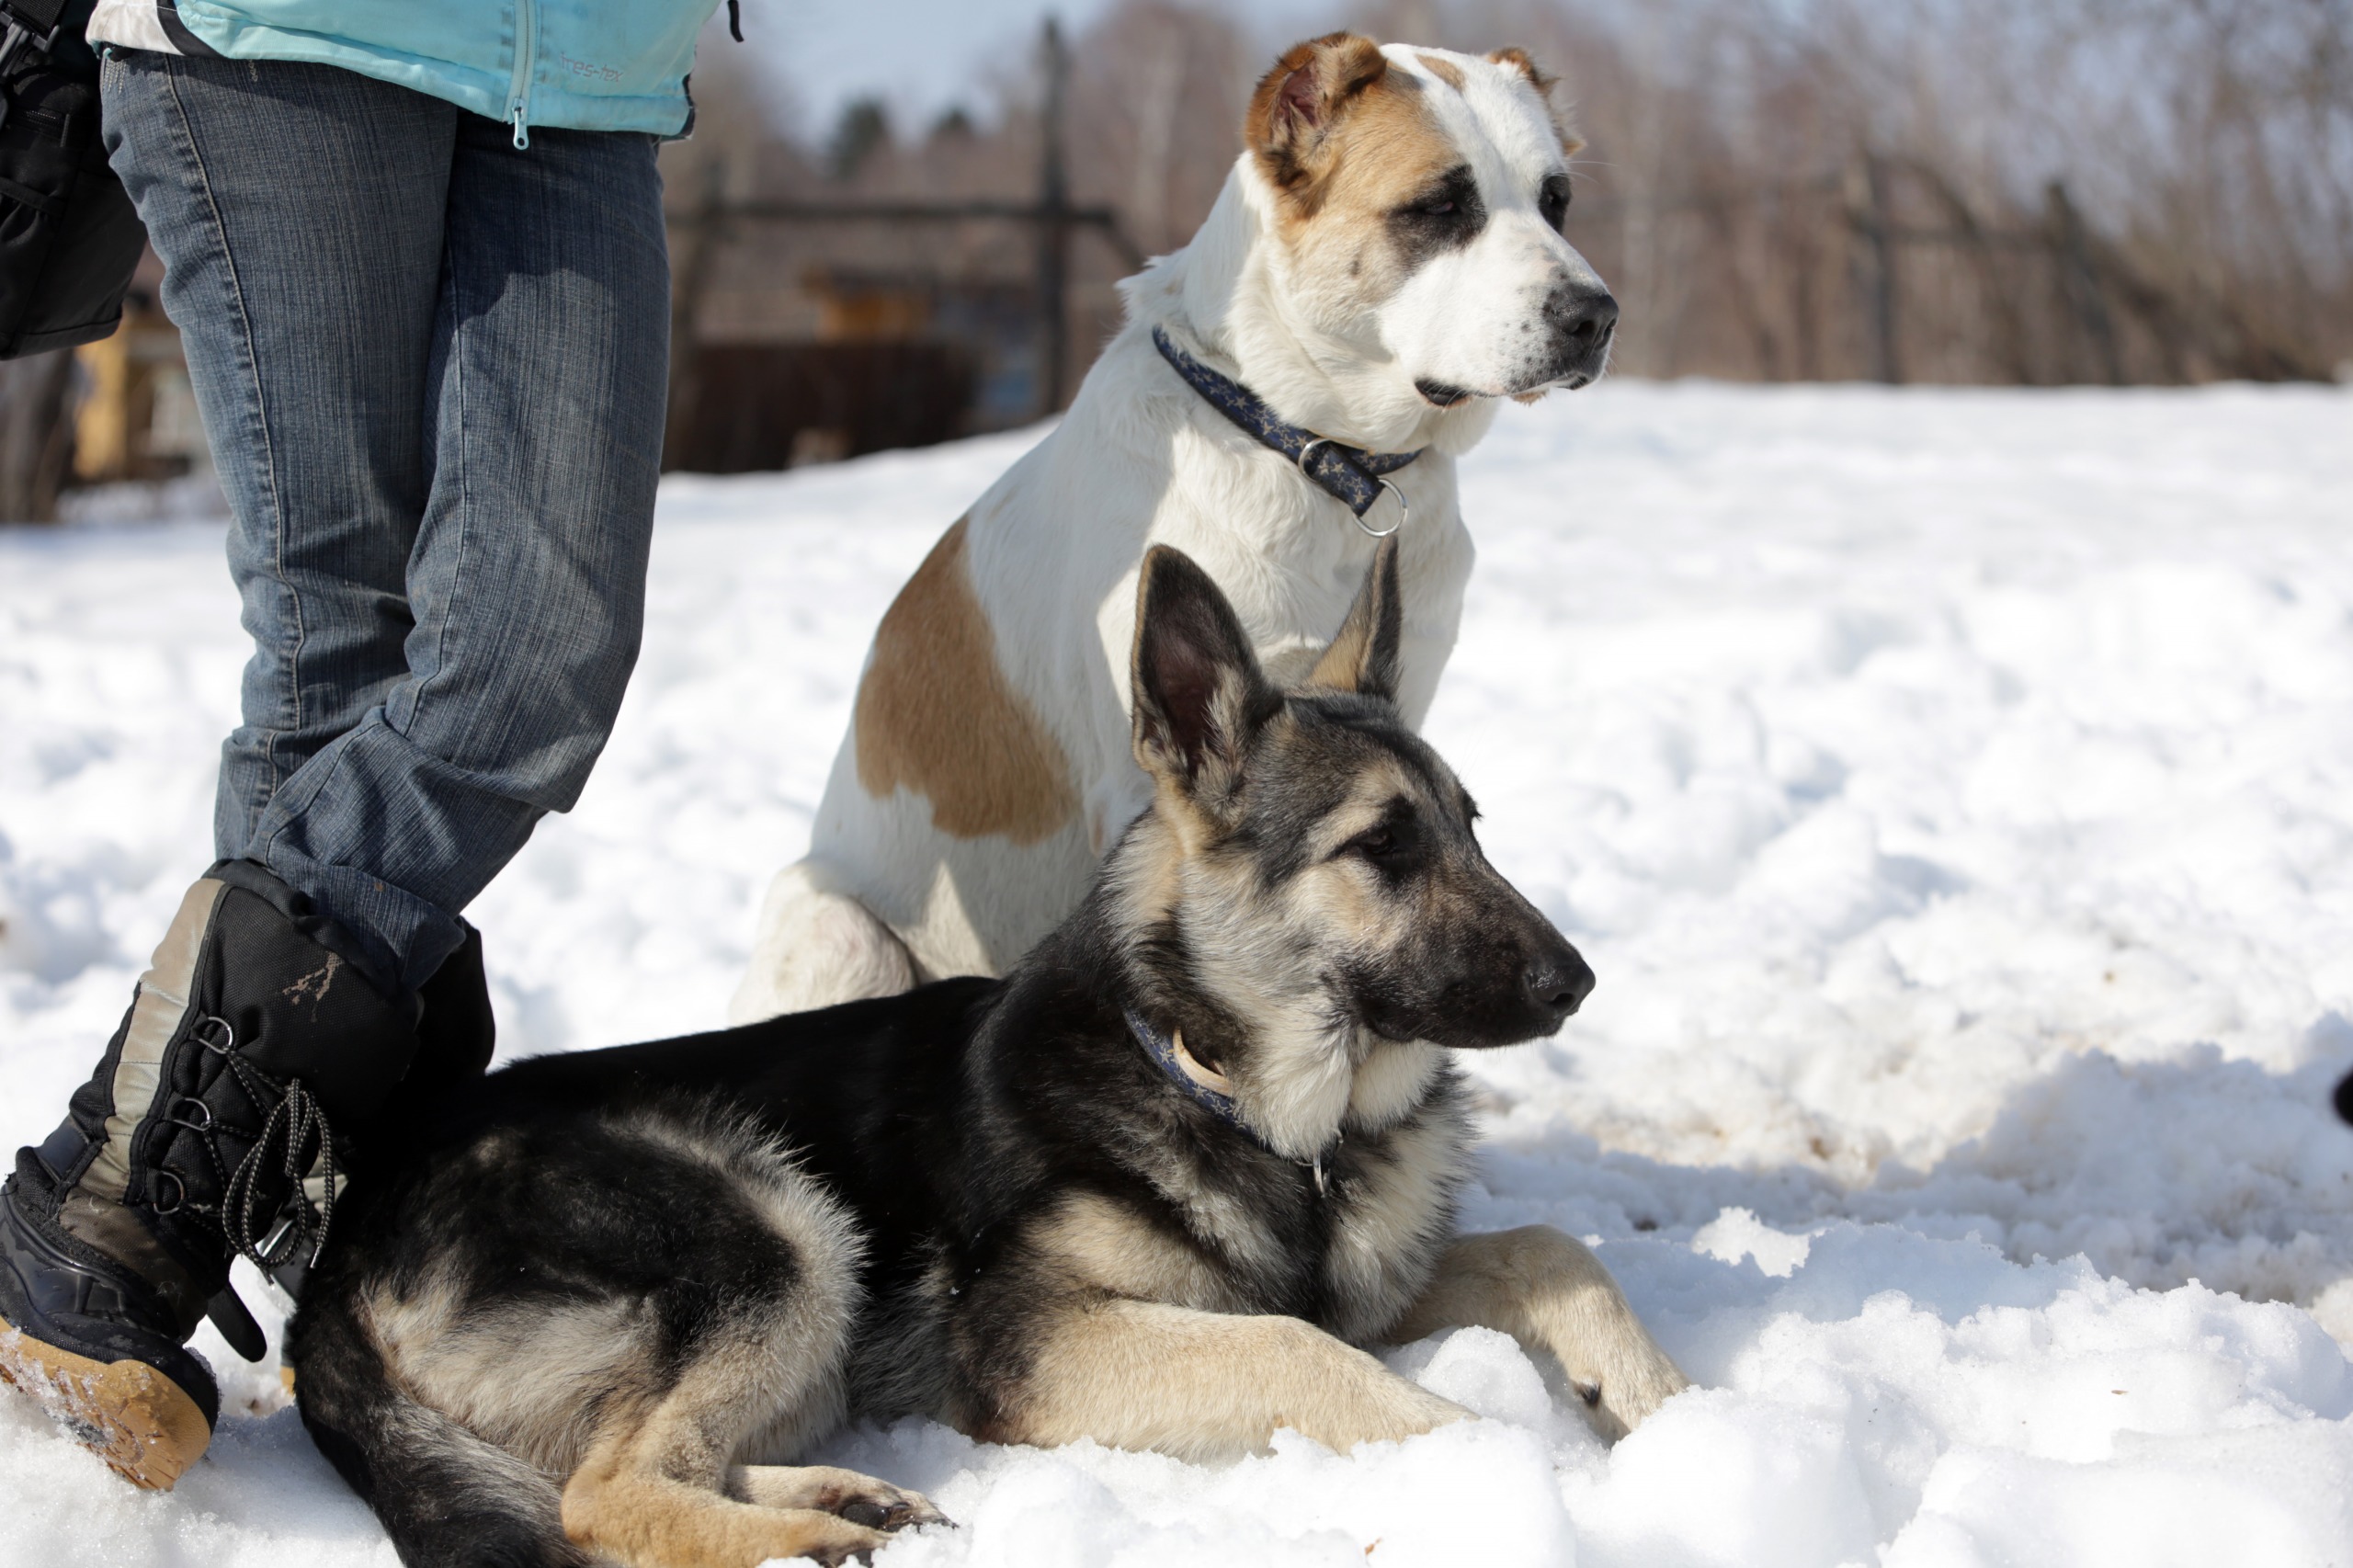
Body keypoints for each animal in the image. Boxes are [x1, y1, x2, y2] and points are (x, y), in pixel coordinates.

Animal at [289, 541, 1694, 1562]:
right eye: (1385, 846)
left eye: (1472, 826)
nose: (1576, 982)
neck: (1244, 1100)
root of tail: (341, 1247)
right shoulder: (1046, 1345)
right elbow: (1303, 1351)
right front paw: (1492, 1460)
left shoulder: (1368, 1285)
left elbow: (1546, 1250)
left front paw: (1676, 1412)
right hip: (772, 1227)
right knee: (606, 1494)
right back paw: (810, 1542)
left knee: (618, 1459)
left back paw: (847, 1501)